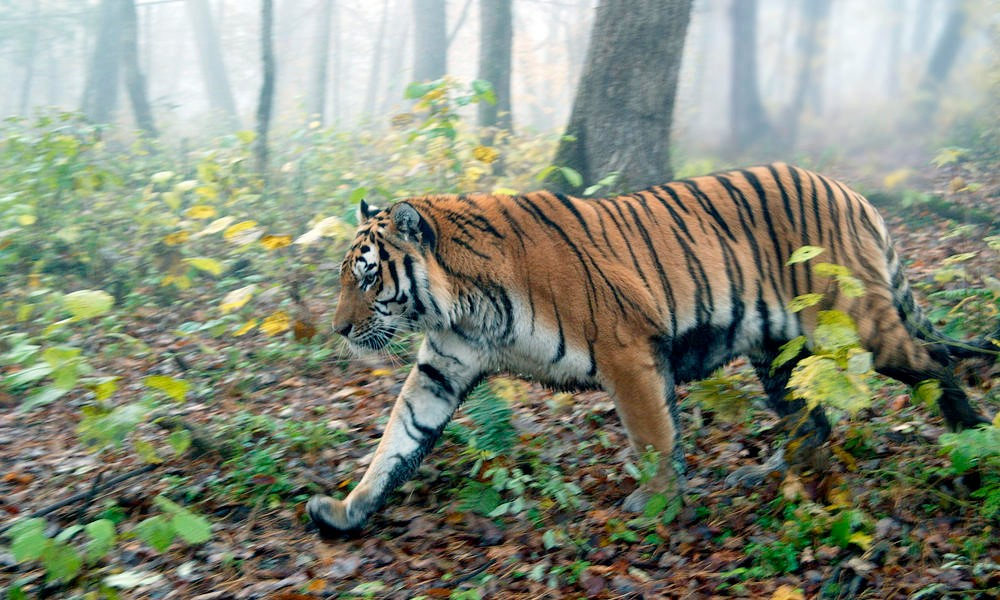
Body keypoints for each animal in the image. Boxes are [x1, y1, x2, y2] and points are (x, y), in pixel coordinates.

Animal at [308, 162, 996, 536]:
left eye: (366, 277)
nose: (338, 330)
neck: (461, 303)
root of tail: (852, 193)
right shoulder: (441, 368)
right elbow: (397, 441)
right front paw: (346, 511)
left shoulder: (627, 350)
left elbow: (652, 434)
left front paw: (657, 504)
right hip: (777, 352)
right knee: (811, 417)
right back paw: (769, 473)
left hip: (854, 322)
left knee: (934, 364)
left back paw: (973, 444)